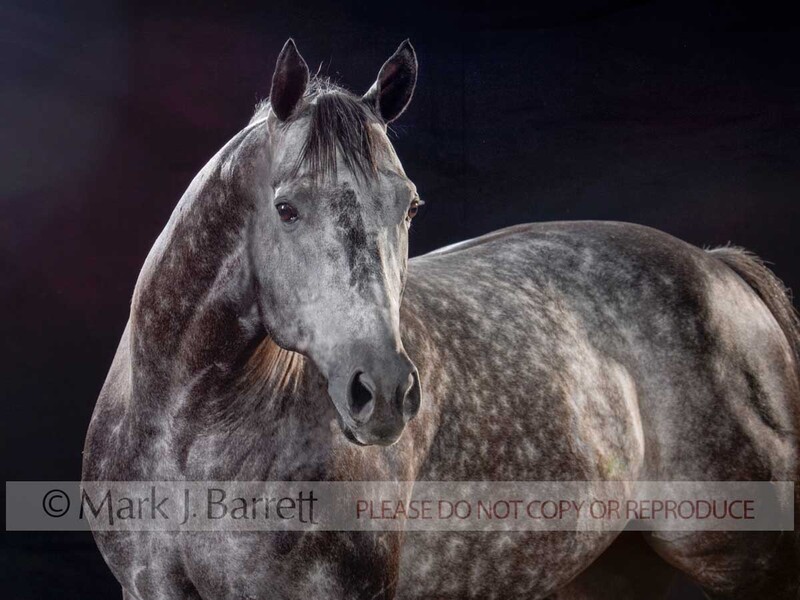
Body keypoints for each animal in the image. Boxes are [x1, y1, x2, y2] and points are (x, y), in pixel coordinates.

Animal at [83, 39, 800, 599]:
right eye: (286, 208)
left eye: (409, 206)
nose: (384, 392)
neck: (188, 431)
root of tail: (719, 269)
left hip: (755, 561)